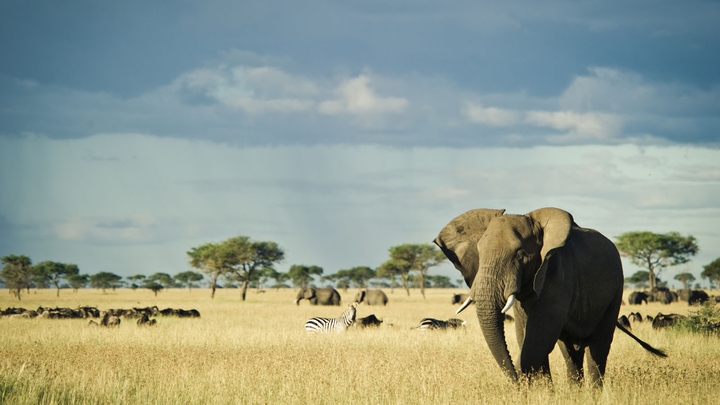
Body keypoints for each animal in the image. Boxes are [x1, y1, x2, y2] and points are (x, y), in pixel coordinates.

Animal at [434, 207, 666, 386]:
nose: (516, 384)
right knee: (570, 351)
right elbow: (526, 335)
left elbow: (537, 340)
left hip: (615, 291)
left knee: (598, 348)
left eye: (520, 255)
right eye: (480, 254)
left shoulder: (558, 275)